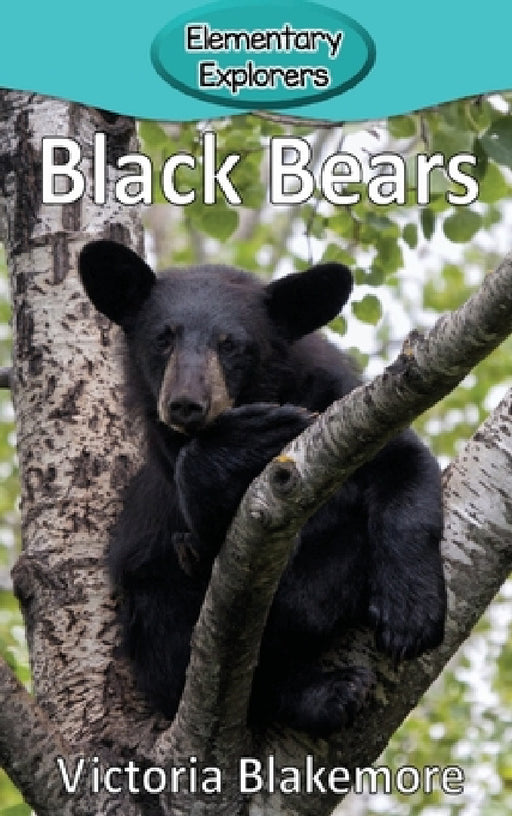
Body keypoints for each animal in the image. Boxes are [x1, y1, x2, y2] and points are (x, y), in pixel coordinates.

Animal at [78, 239, 446, 737]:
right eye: (163, 338)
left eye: (231, 344)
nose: (186, 404)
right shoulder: (169, 467)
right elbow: (213, 531)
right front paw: (247, 437)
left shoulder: (343, 405)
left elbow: (404, 465)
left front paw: (412, 615)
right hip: (148, 599)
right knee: (178, 654)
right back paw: (328, 692)